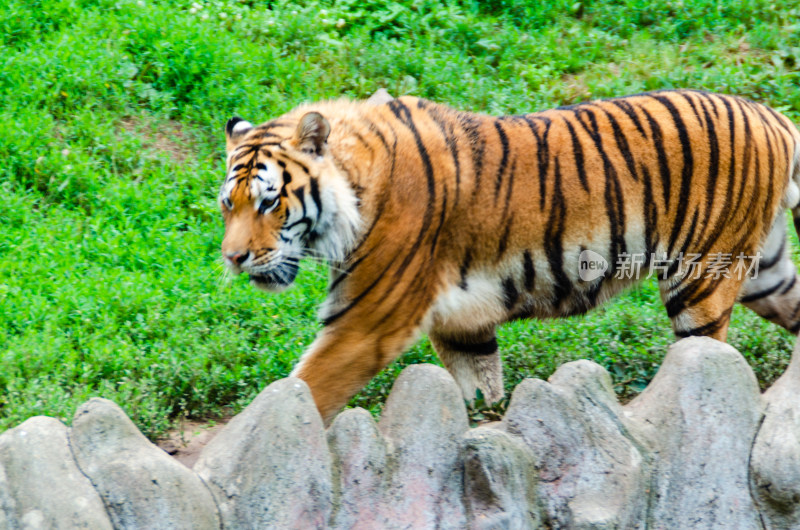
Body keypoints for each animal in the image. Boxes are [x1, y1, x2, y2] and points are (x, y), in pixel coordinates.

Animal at [217, 89, 800, 420]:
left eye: (269, 202)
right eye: (229, 204)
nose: (234, 258)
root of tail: (772, 115)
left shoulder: (366, 322)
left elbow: (306, 387)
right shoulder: (462, 324)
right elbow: (480, 391)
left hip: (702, 278)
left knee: (706, 358)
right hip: (765, 272)